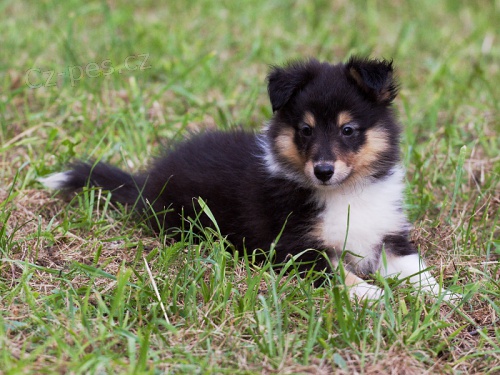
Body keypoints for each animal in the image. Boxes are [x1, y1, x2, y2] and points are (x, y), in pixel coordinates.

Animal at [42, 56, 454, 302]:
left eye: (348, 129)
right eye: (305, 130)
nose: (322, 171)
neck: (347, 192)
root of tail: (147, 180)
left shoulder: (389, 236)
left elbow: (418, 272)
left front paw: (447, 298)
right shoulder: (297, 249)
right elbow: (342, 274)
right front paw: (374, 296)